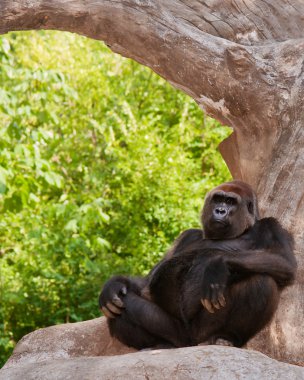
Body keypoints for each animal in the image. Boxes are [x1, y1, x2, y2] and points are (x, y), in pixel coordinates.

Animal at [98, 181, 296, 350]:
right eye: (218, 199)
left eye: (230, 202)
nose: (220, 210)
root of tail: (190, 342)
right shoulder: (187, 235)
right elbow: (148, 281)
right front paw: (114, 284)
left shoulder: (270, 225)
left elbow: (284, 261)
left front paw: (217, 266)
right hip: (177, 332)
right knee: (122, 306)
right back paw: (159, 344)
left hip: (202, 332)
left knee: (261, 280)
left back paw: (227, 337)